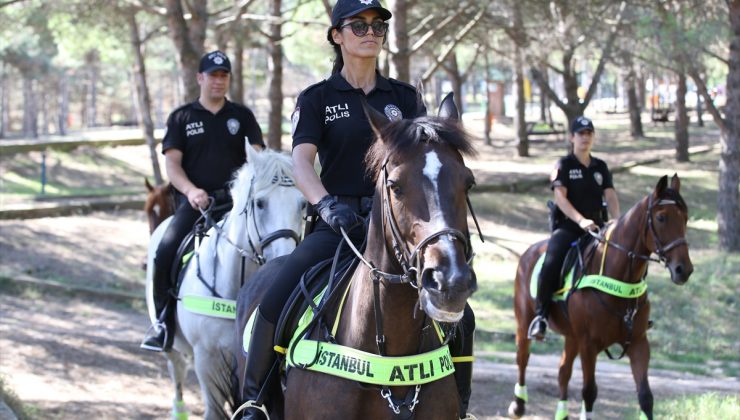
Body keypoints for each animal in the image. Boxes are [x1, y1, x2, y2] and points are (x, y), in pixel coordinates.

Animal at [145, 145, 306, 420]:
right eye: (260, 203)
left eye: (302, 204)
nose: (285, 256)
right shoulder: (207, 360)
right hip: (174, 346)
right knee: (177, 370)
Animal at [508, 172, 692, 418]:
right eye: (661, 217)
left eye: (685, 218)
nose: (684, 270)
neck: (621, 279)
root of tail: (529, 252)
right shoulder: (589, 344)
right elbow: (589, 392)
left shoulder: (638, 342)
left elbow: (645, 397)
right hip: (524, 322)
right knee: (522, 359)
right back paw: (518, 404)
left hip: (571, 336)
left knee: (563, 371)